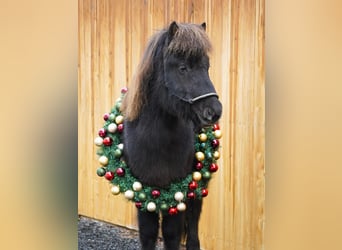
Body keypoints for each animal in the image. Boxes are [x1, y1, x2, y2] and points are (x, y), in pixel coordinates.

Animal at [120, 21, 222, 250]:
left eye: (207, 67)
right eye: (183, 68)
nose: (214, 111)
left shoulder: (178, 196)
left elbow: (172, 235)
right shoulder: (143, 194)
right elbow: (148, 234)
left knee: (193, 227)